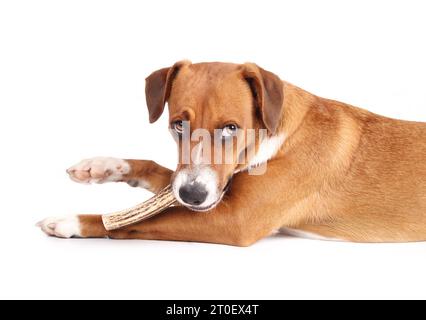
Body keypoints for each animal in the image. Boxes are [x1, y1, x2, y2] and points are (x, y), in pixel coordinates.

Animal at [36, 60, 426, 245]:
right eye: (178, 124)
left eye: (231, 128)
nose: (192, 195)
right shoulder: (213, 190)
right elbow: (159, 175)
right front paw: (100, 167)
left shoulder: (234, 219)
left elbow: (137, 222)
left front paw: (72, 222)